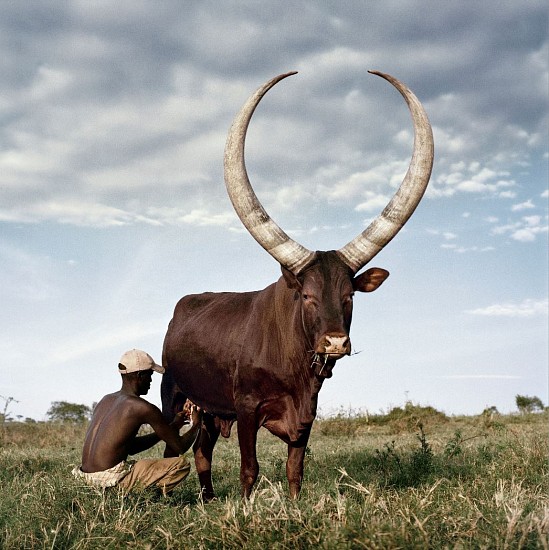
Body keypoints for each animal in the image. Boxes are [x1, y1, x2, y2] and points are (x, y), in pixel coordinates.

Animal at [161, 71, 434, 502]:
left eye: (349, 296)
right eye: (306, 296)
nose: (335, 343)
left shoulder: (306, 414)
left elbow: (295, 469)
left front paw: (293, 504)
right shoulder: (246, 409)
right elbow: (249, 469)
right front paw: (247, 506)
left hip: (209, 411)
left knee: (203, 451)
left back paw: (207, 500)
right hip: (174, 399)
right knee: (176, 450)